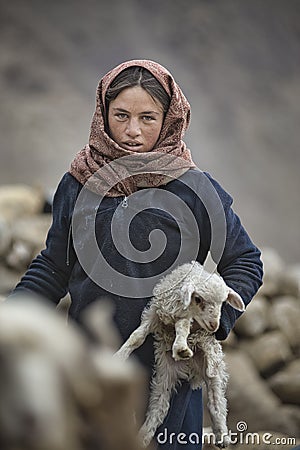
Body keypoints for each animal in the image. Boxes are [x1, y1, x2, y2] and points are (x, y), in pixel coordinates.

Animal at [116, 260, 245, 446]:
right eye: (198, 299)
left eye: (223, 303)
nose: (214, 326)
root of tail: (192, 371)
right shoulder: (156, 312)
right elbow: (137, 337)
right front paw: (119, 356)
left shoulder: (185, 318)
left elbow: (182, 329)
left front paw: (181, 348)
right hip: (165, 375)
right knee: (159, 407)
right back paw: (143, 437)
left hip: (213, 371)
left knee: (217, 403)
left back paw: (222, 436)